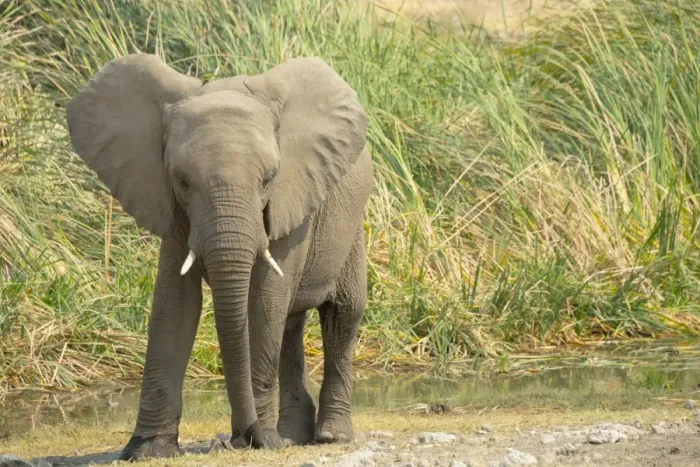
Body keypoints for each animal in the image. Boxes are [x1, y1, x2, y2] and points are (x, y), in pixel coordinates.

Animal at [65, 53, 372, 460]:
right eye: (181, 180)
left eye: (269, 178)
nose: (243, 437)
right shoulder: (170, 205)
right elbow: (174, 303)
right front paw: (147, 451)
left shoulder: (291, 198)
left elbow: (265, 300)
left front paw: (262, 442)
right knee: (291, 323)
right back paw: (291, 436)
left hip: (351, 225)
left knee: (341, 313)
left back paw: (329, 436)